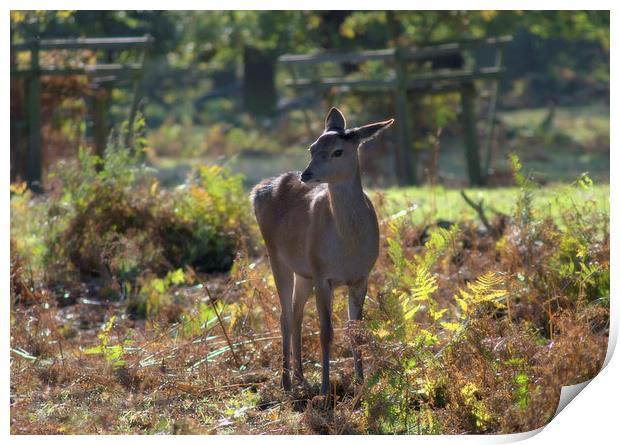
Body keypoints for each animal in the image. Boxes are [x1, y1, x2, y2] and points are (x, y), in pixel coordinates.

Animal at [251, 107, 392, 396]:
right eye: (312, 147)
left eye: (338, 151)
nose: (306, 174)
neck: (347, 249)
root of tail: (257, 191)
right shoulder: (322, 274)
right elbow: (326, 332)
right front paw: (327, 389)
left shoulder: (362, 276)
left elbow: (356, 331)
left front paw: (361, 384)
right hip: (277, 255)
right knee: (285, 314)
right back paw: (286, 382)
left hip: (303, 272)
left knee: (296, 313)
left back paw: (300, 377)